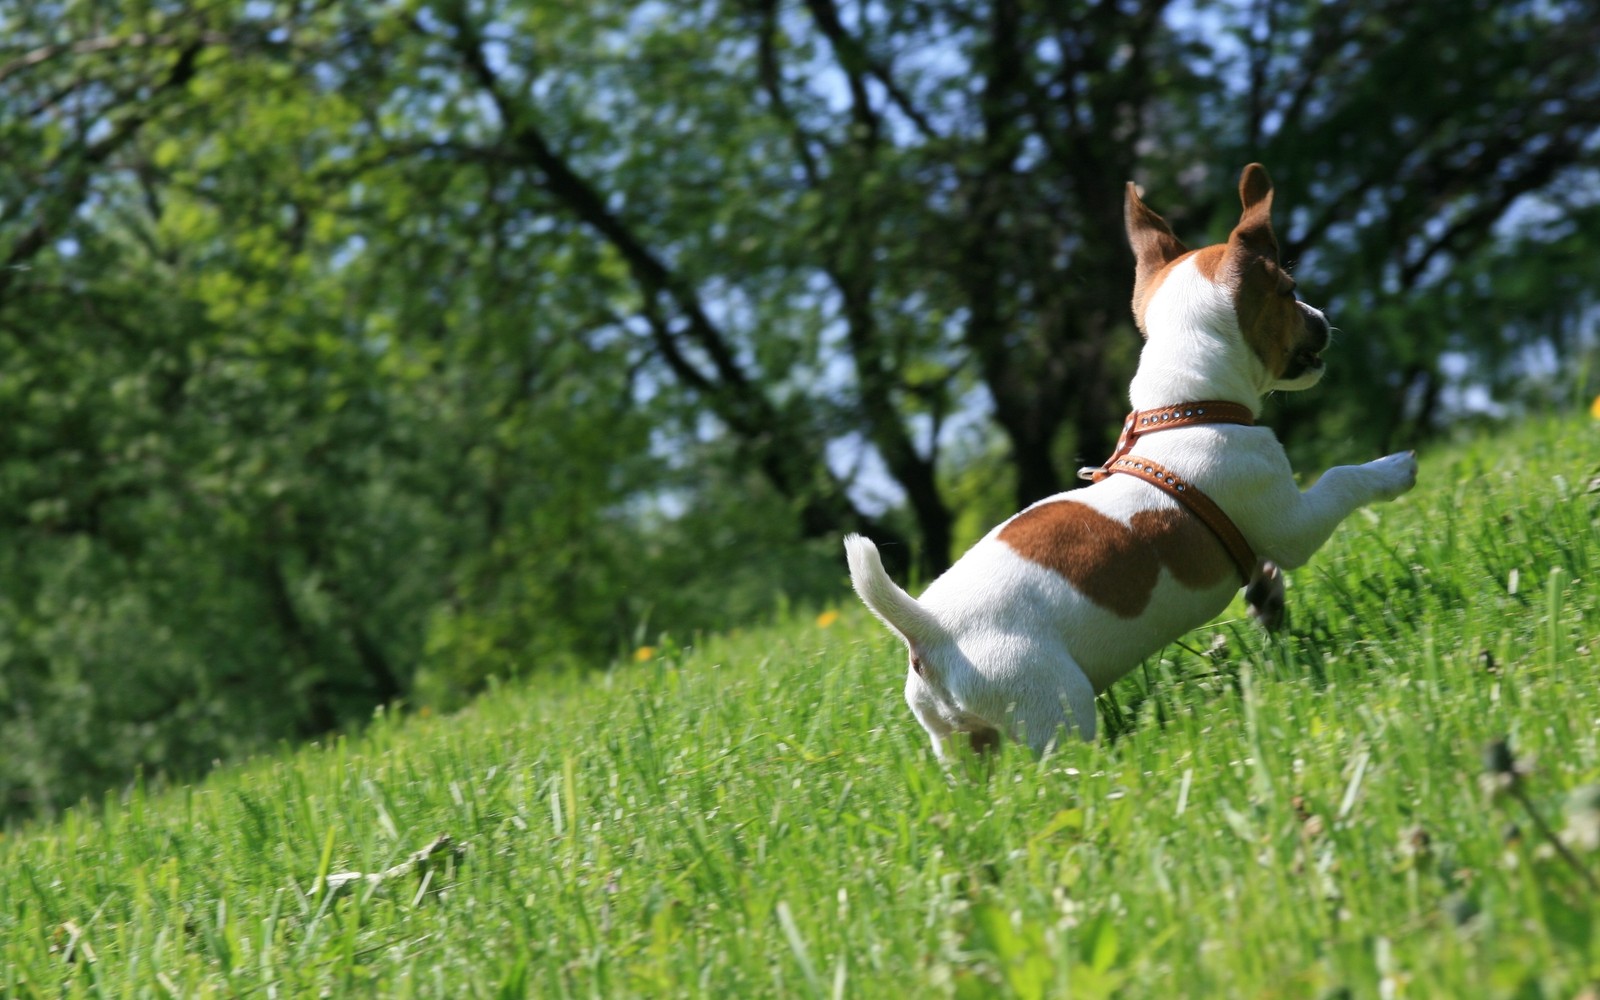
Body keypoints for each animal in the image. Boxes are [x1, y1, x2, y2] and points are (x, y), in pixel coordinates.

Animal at [844, 164, 1420, 755]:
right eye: (1290, 290)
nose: (1321, 318)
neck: (1185, 409)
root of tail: (930, 632)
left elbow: (1266, 568)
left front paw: (1268, 598)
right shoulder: (1291, 521)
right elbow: (1341, 480)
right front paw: (1392, 469)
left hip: (961, 742)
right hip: (1053, 707)